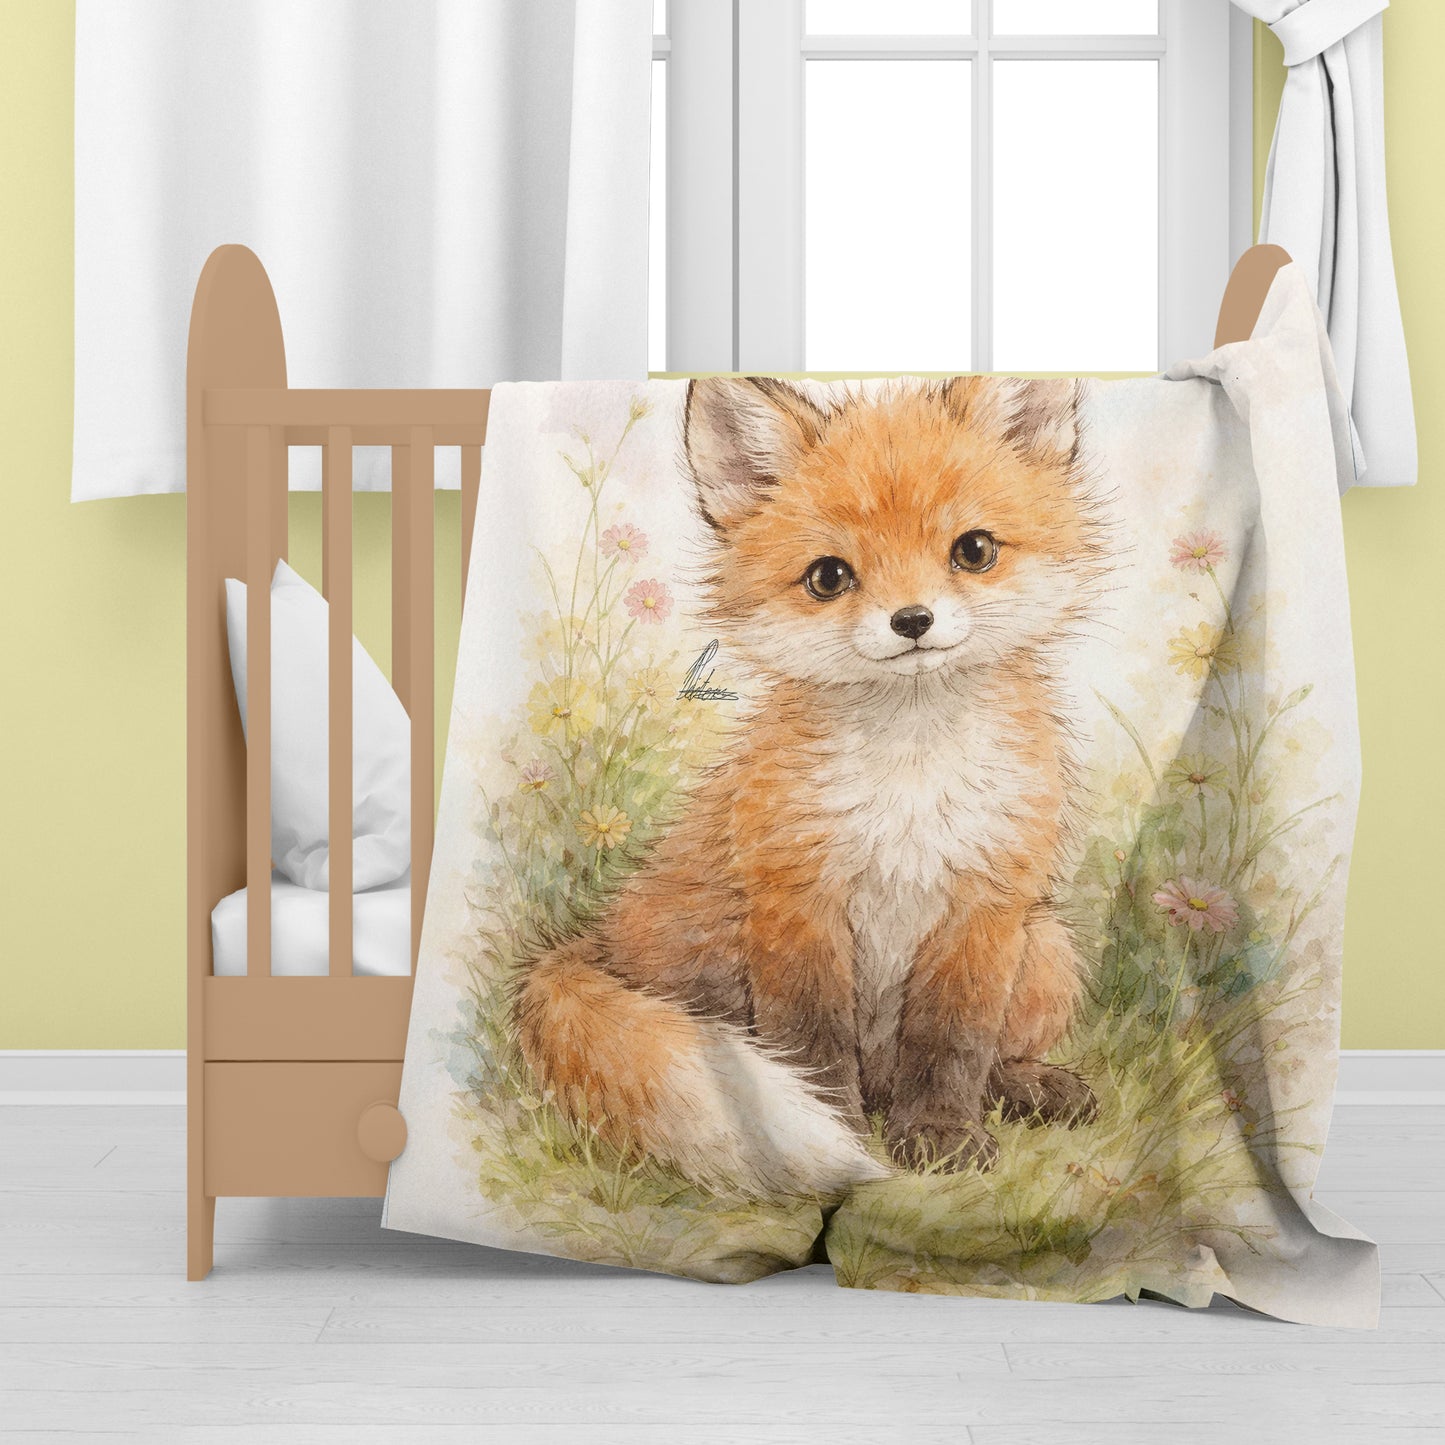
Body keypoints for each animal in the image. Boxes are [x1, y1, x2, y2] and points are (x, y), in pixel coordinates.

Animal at [513, 375, 1111, 1198]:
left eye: (973, 550)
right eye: (829, 577)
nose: (912, 620)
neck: (909, 778)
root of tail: (589, 945)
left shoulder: (985, 906)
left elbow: (952, 1043)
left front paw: (941, 1134)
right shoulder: (795, 900)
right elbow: (813, 1048)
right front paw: (846, 1140)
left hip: (1046, 945)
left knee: (981, 1056)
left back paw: (1026, 1086)